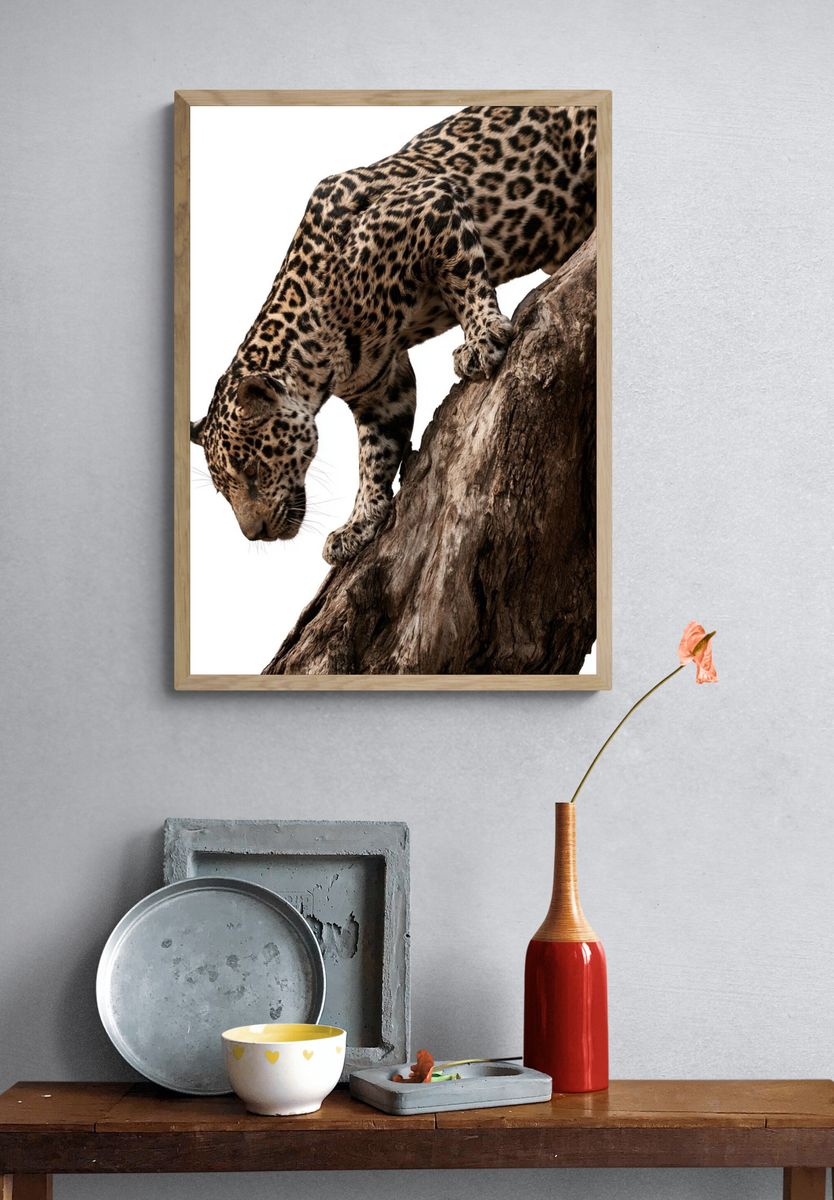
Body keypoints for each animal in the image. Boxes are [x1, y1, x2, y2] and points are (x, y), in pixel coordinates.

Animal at [190, 104, 597, 564]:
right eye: (224, 490)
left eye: (252, 470)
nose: (254, 534)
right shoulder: (381, 387)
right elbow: (376, 454)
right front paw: (359, 523)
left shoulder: (433, 203)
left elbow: (464, 278)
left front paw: (481, 338)